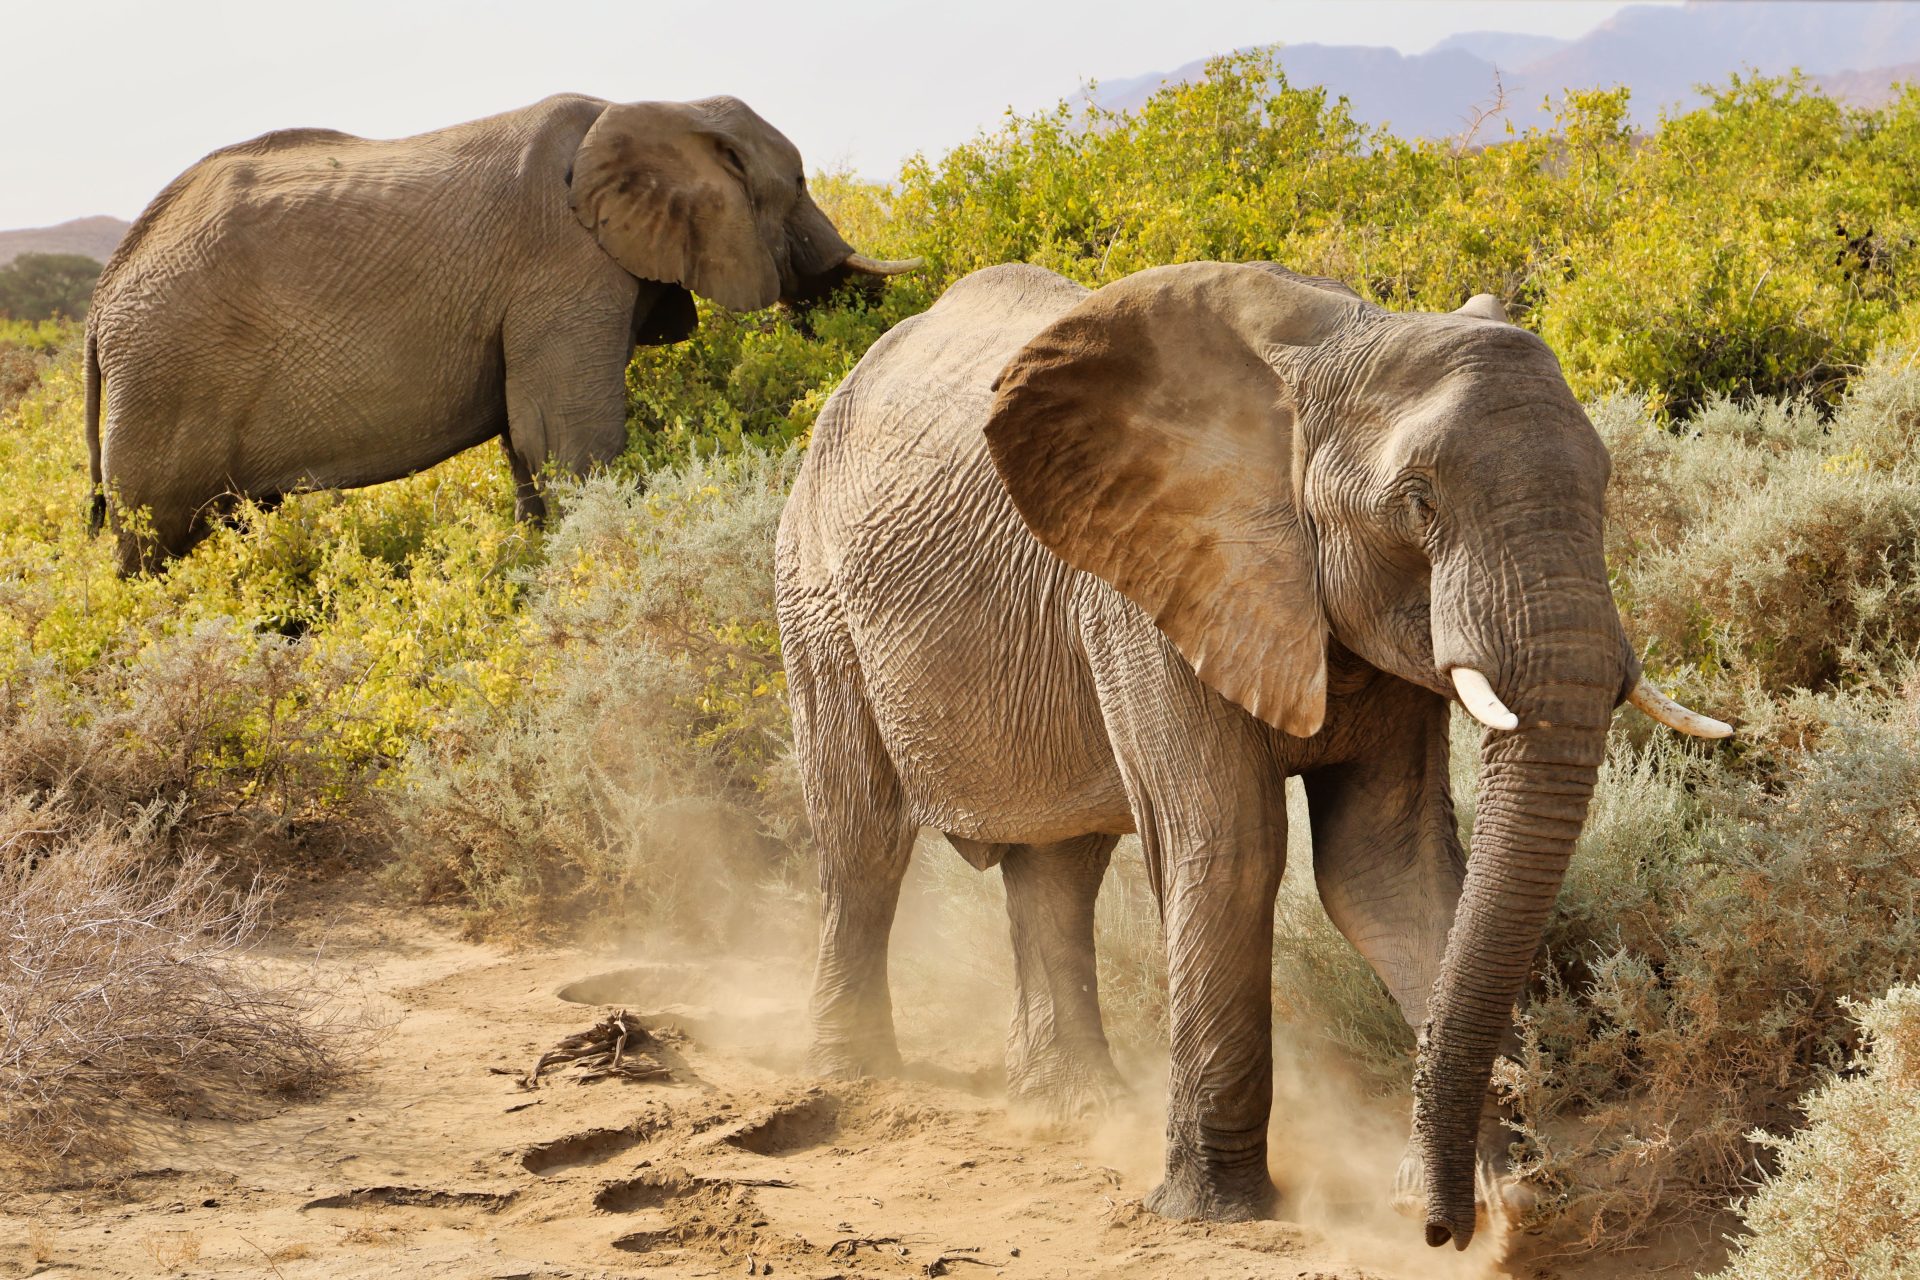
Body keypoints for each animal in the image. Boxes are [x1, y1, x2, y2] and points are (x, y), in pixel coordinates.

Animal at [83, 93, 914, 572]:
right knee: (153, 541)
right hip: (167, 381)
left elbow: (529, 437)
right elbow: (569, 437)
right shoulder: (563, 268)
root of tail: (100, 301)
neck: (660, 106)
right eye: (798, 184)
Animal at [773, 261, 1731, 1250]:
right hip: (814, 594)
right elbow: (1230, 847)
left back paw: (1072, 1109)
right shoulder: (1148, 588)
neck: (1333, 354)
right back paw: (857, 1075)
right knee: (863, 839)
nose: (1435, 1228)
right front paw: (1217, 1212)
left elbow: (1388, 868)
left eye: (1606, 485)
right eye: (1419, 501)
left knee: (1060, 867)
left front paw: (1507, 1207)